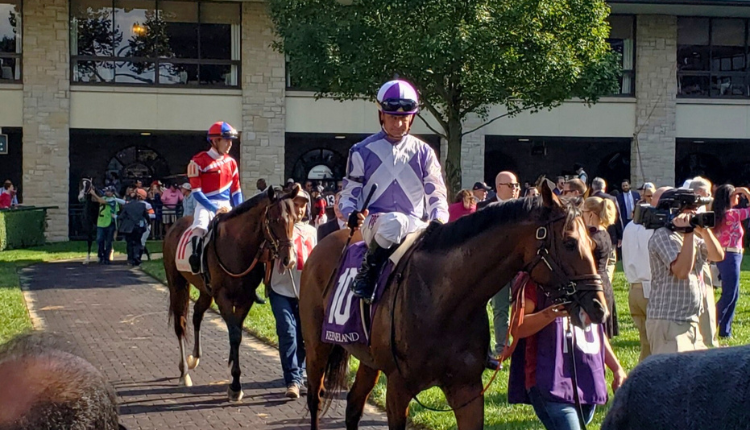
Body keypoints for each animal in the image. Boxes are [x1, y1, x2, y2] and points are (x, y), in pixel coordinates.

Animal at [164, 186, 300, 404]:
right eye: (274, 219)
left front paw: (232, 371)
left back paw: (194, 358)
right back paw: (184, 372)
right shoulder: (223, 298)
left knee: (197, 315)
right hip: (177, 285)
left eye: (295, 219)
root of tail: (174, 225)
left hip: (205, 291)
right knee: (180, 325)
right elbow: (235, 334)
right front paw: (235, 386)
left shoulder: (245, 299)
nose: (289, 259)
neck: (237, 247)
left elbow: (237, 333)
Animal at [300, 183, 612, 428]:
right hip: (317, 345)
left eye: (593, 245)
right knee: (315, 398)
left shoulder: (467, 390)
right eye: (570, 243)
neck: (445, 303)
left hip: (368, 359)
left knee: (354, 404)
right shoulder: (398, 389)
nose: (599, 308)